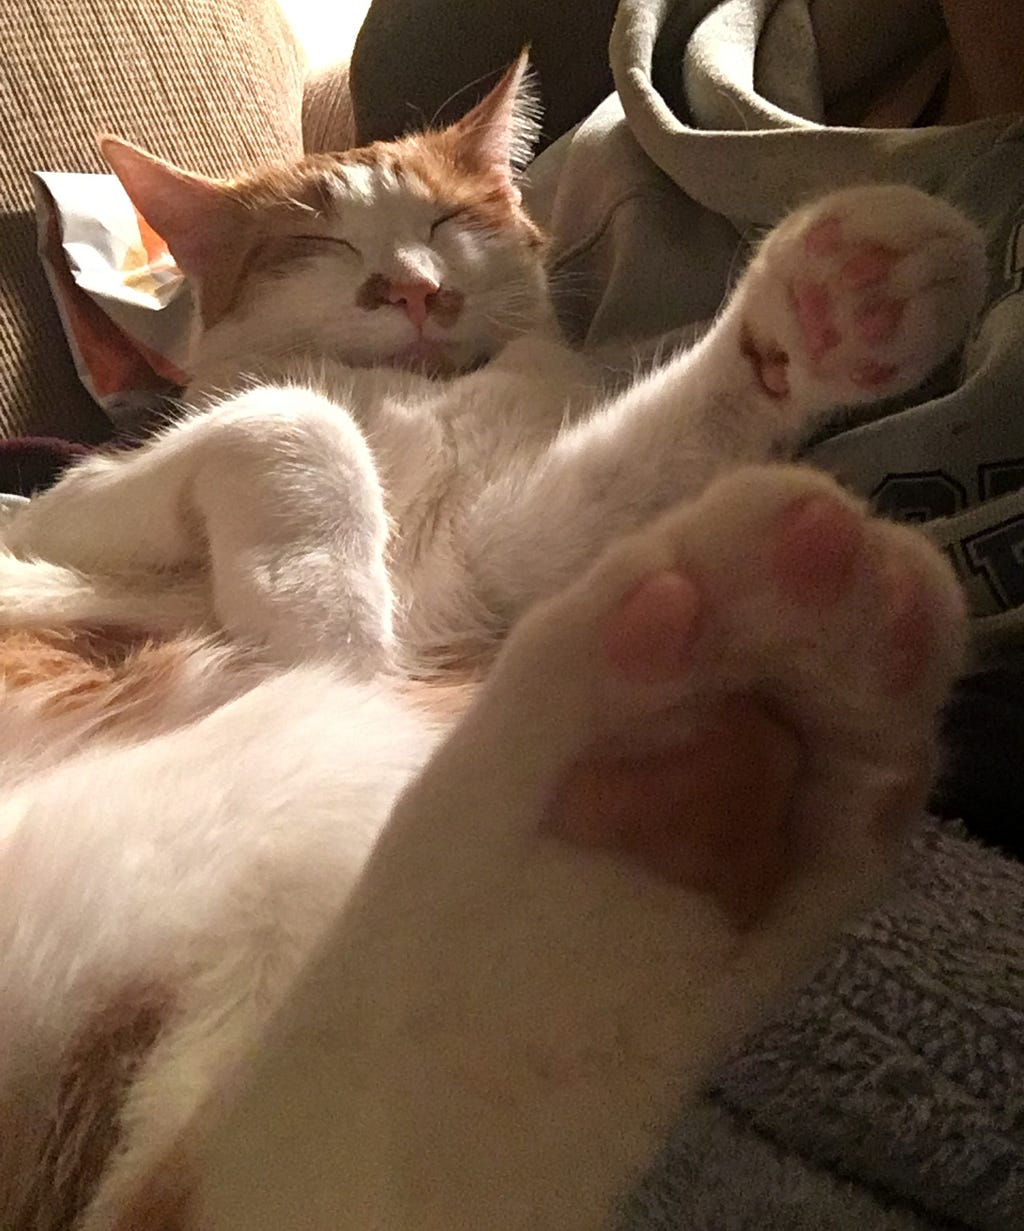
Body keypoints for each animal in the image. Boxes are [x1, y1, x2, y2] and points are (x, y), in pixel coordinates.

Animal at [2, 55, 984, 1231]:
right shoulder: (64, 506)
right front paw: (322, 611)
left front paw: (822, 316)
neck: (417, 405)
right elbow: (291, 420)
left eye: (448, 218)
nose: (414, 287)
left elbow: (635, 463)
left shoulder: (500, 557)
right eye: (317, 245)